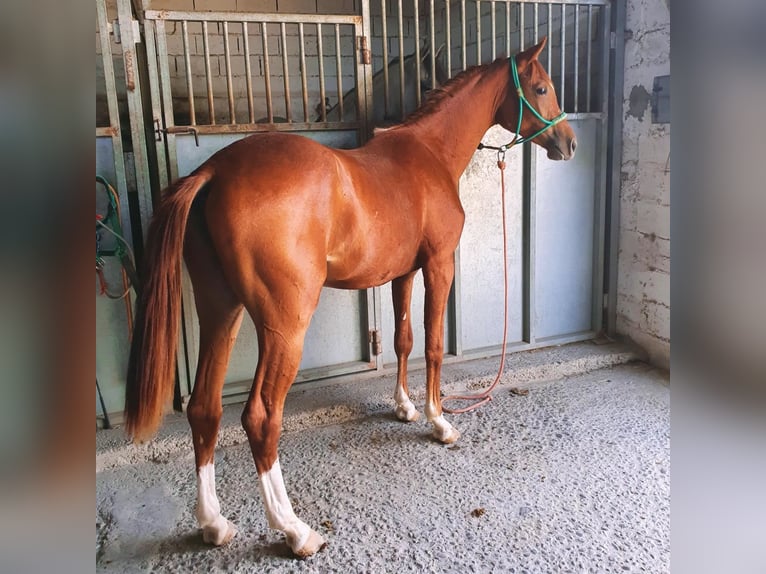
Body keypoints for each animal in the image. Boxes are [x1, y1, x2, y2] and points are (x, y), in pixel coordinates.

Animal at [124, 38, 576, 560]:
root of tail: (214, 171)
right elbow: (433, 346)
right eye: (541, 87)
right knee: (261, 418)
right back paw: (295, 530)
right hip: (284, 326)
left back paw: (214, 523)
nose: (569, 143)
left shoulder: (403, 273)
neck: (429, 154)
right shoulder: (439, 266)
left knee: (204, 408)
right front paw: (439, 421)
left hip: (222, 310)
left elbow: (402, 340)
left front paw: (403, 407)